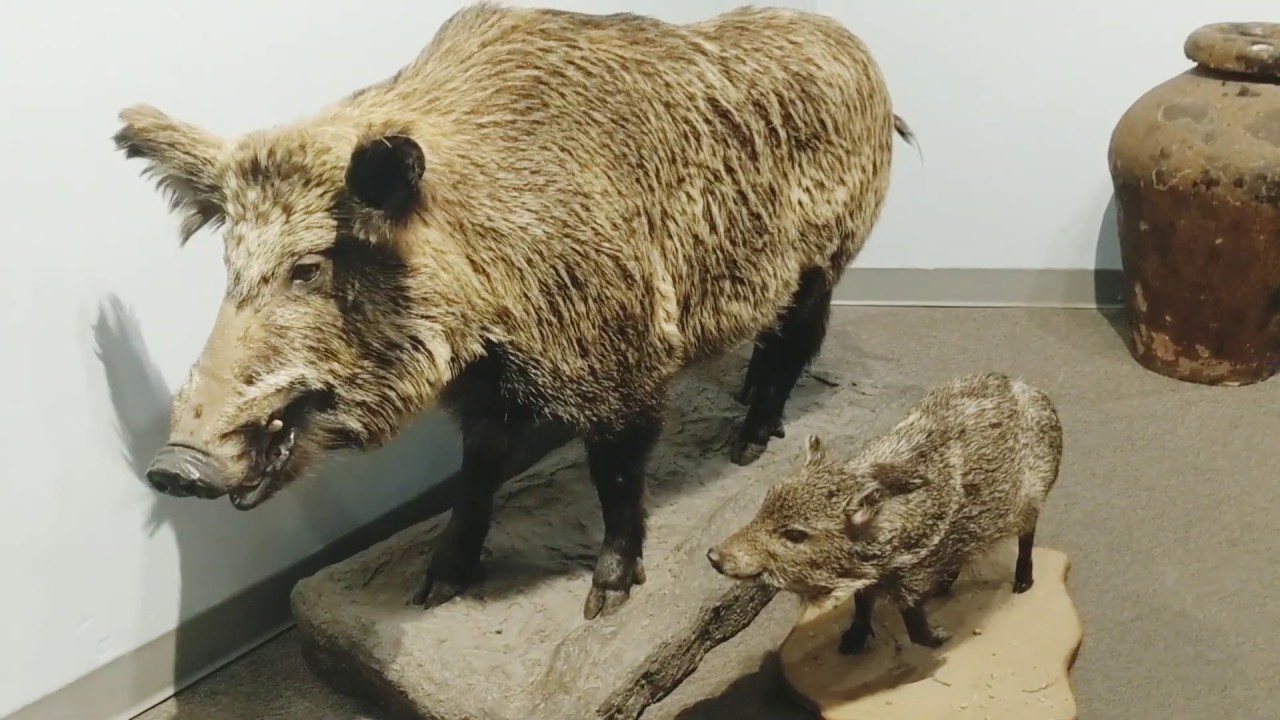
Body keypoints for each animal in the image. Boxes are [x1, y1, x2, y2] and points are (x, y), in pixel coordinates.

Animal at [111, 3, 916, 621]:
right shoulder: (487, 388)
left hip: (827, 255)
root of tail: (861, 54)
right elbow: (476, 475)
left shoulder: (621, 363)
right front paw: (432, 589)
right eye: (230, 265)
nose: (173, 466)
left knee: (797, 338)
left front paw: (604, 604)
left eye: (310, 267)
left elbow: (614, 476)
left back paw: (746, 445)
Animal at [707, 372, 1063, 652]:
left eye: (795, 534)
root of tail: (1034, 391)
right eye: (766, 502)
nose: (713, 556)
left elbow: (914, 625)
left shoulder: (911, 575)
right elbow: (863, 606)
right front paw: (849, 645)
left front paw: (943, 637)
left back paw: (1022, 584)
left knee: (1027, 537)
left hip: (1033, 499)